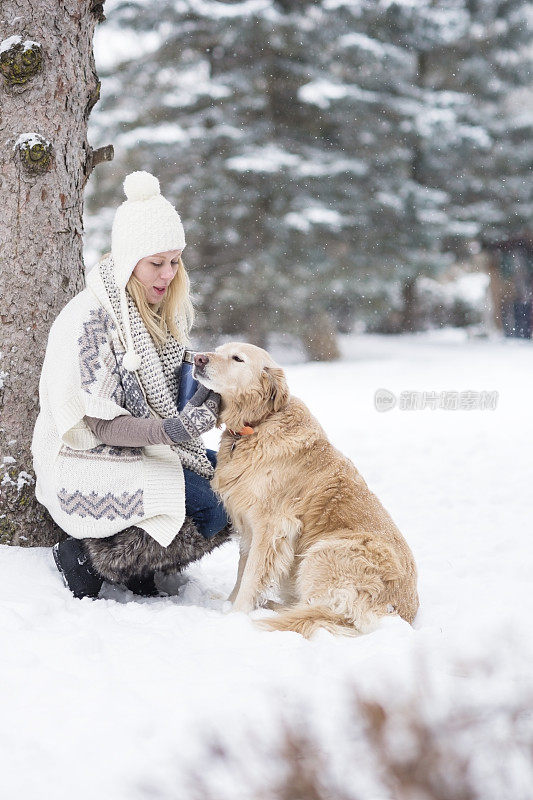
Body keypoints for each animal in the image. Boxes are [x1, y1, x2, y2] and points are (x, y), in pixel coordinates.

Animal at [193, 342, 418, 636]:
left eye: (237, 358)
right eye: (218, 350)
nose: (197, 358)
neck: (259, 423)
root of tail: (402, 614)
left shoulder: (271, 527)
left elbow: (252, 574)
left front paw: (235, 616)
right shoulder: (248, 526)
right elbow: (242, 571)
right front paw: (229, 605)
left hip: (323, 551)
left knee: (322, 612)